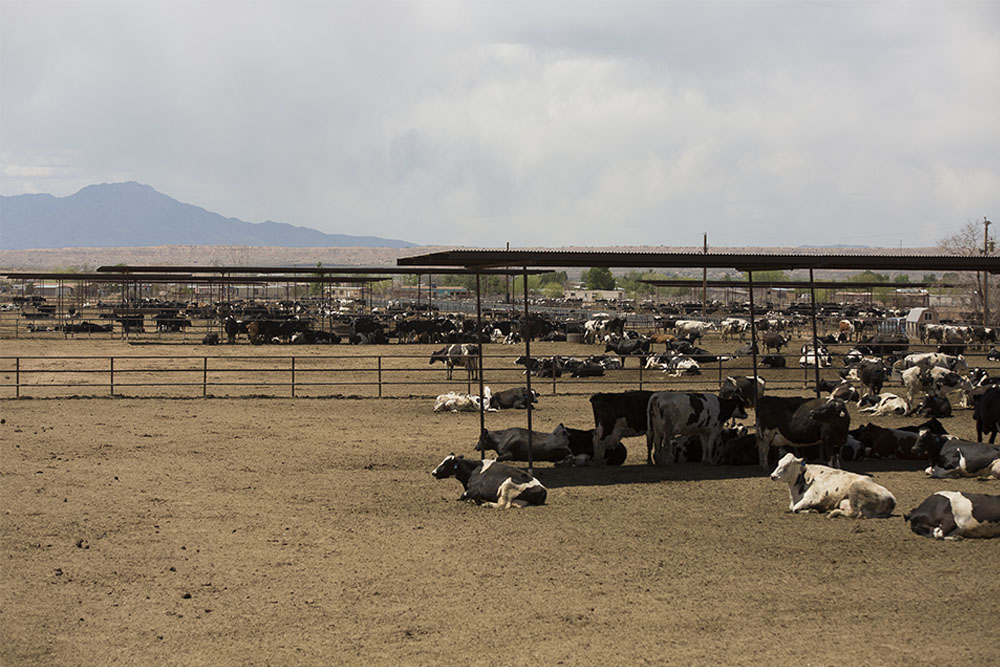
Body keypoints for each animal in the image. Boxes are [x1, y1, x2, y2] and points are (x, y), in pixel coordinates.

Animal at [768, 452, 896, 520]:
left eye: (787, 465)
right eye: (779, 463)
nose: (772, 476)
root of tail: (892, 498)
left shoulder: (812, 498)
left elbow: (795, 508)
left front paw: (812, 511)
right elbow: (792, 507)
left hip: (855, 489)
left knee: (855, 513)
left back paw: (832, 513)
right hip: (844, 502)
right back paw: (833, 512)